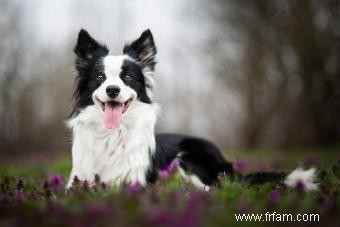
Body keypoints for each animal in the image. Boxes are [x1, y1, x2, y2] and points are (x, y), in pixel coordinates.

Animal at [67, 29, 318, 191]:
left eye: (127, 77)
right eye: (99, 77)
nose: (112, 90)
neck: (110, 134)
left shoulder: (135, 182)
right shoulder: (76, 181)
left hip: (188, 157)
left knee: (212, 189)